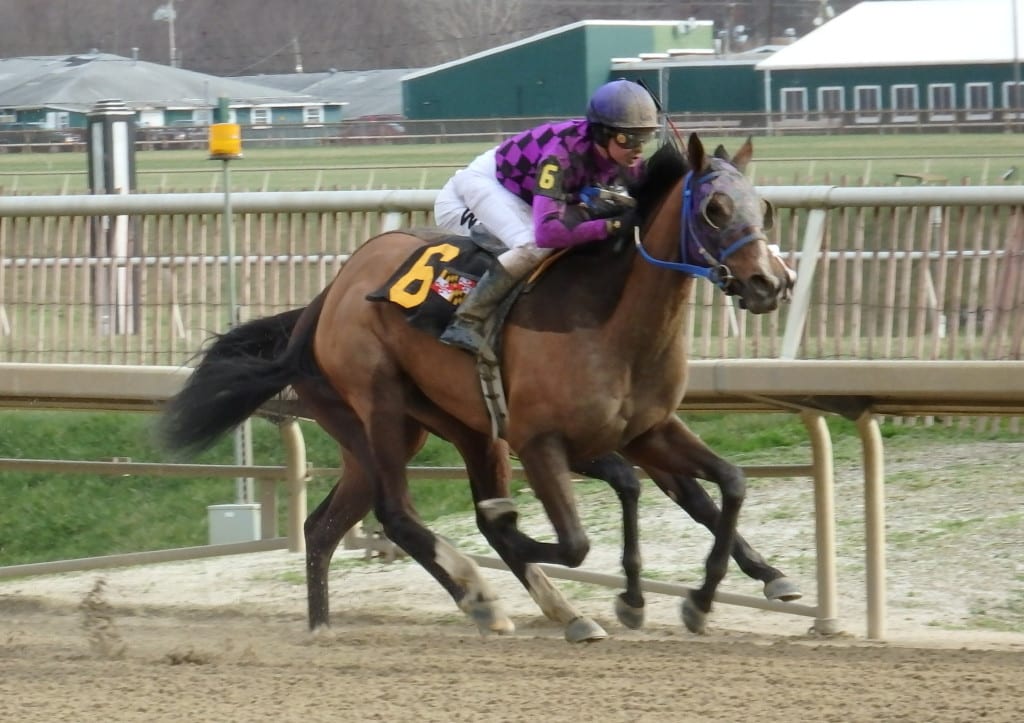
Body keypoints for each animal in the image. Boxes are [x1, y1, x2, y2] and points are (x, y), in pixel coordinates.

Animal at [159, 136, 794, 643]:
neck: (611, 318)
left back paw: (330, 624)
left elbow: (727, 485)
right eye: (714, 209)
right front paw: (634, 597)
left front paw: (714, 596)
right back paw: (481, 595)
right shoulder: (543, 442)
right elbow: (577, 535)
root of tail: (323, 300)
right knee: (398, 513)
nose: (770, 283)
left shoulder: (647, 430)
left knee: (325, 526)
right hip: (380, 403)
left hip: (433, 432)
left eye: (762, 206)